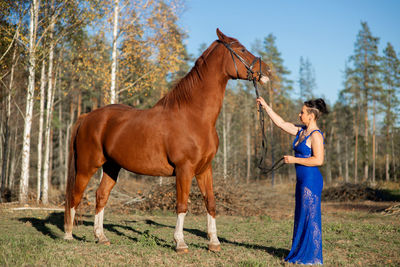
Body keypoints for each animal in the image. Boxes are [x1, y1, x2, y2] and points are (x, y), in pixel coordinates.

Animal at [65, 28, 272, 253]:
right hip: (87, 166)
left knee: (101, 196)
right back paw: (68, 235)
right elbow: (182, 205)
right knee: (75, 196)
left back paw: (101, 237)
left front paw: (214, 242)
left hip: (111, 167)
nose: (267, 71)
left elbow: (210, 202)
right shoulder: (184, 170)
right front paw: (180, 242)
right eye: (241, 49)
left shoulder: (204, 169)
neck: (194, 117)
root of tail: (87, 116)